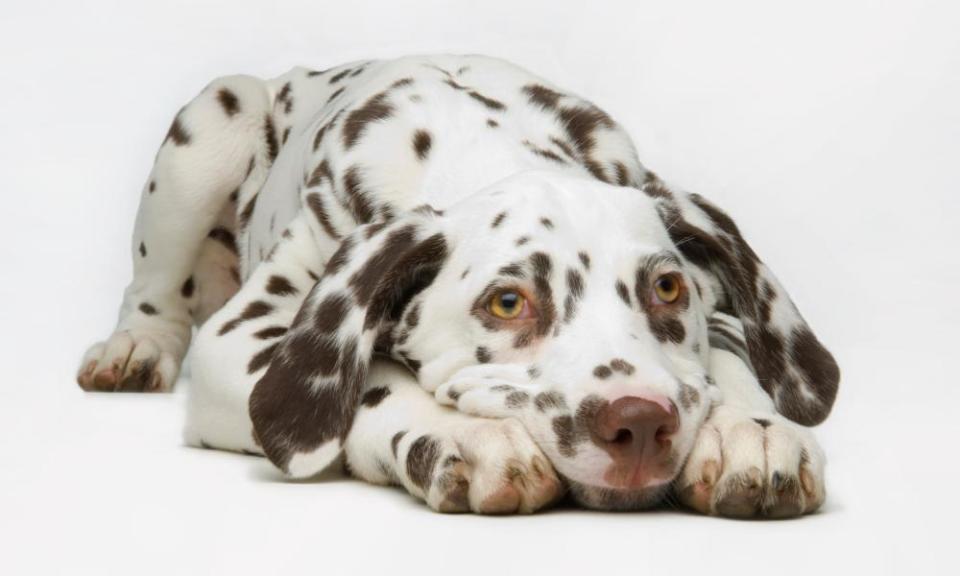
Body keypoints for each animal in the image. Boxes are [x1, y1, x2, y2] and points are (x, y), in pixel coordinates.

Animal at [77, 55, 840, 516]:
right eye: (507, 303)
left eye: (669, 291)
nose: (641, 423)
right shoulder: (237, 341)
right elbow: (370, 382)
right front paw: (466, 435)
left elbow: (729, 357)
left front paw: (750, 430)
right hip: (209, 129)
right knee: (152, 296)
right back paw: (134, 349)